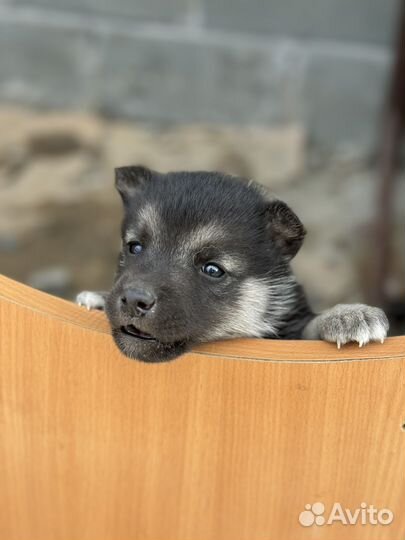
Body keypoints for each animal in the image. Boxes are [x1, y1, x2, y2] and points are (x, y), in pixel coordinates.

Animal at [76, 168, 388, 362]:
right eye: (135, 247)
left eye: (213, 270)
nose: (133, 300)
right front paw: (97, 298)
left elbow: (309, 327)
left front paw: (348, 315)